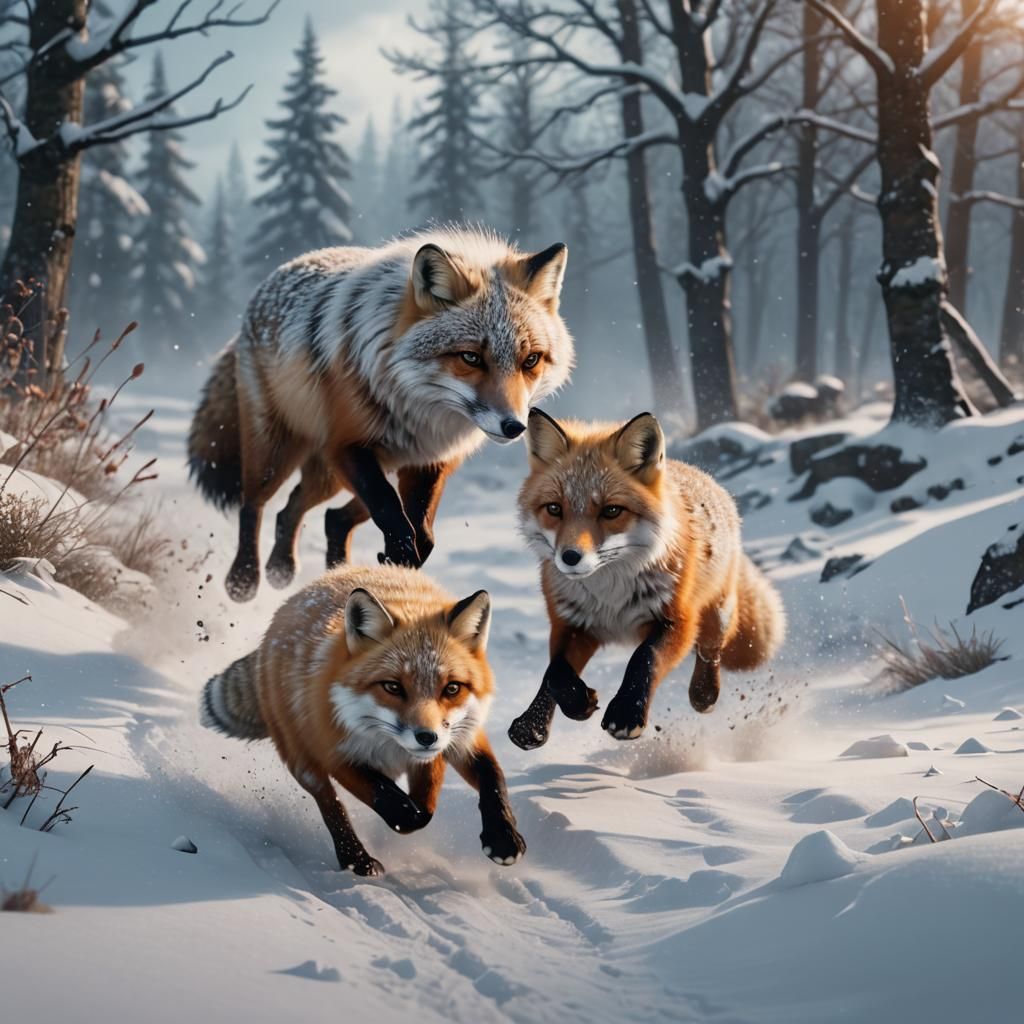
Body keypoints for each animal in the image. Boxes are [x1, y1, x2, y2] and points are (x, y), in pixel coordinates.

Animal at [187, 228, 573, 602]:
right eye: (471, 357)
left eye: (531, 360)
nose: (514, 426)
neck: (421, 410)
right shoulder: (346, 446)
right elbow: (390, 509)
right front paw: (398, 559)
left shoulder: (430, 461)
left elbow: (423, 531)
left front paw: (397, 563)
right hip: (281, 456)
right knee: (254, 504)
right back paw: (244, 580)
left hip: (339, 475)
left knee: (312, 513)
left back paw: (291, 568)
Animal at [200, 563, 526, 876]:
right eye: (392, 687)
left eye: (452, 688)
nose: (426, 737)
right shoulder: (335, 752)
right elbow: (402, 808)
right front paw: (399, 819)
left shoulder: (461, 738)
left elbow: (490, 780)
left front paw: (503, 838)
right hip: (302, 759)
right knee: (331, 806)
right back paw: (355, 859)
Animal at [508, 409, 785, 750]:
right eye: (554, 509)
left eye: (612, 511)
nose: (570, 557)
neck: (610, 596)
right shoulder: (571, 623)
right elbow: (555, 673)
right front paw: (551, 716)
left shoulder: (676, 620)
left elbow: (644, 658)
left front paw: (626, 714)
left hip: (718, 610)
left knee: (711, 649)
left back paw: (704, 694)